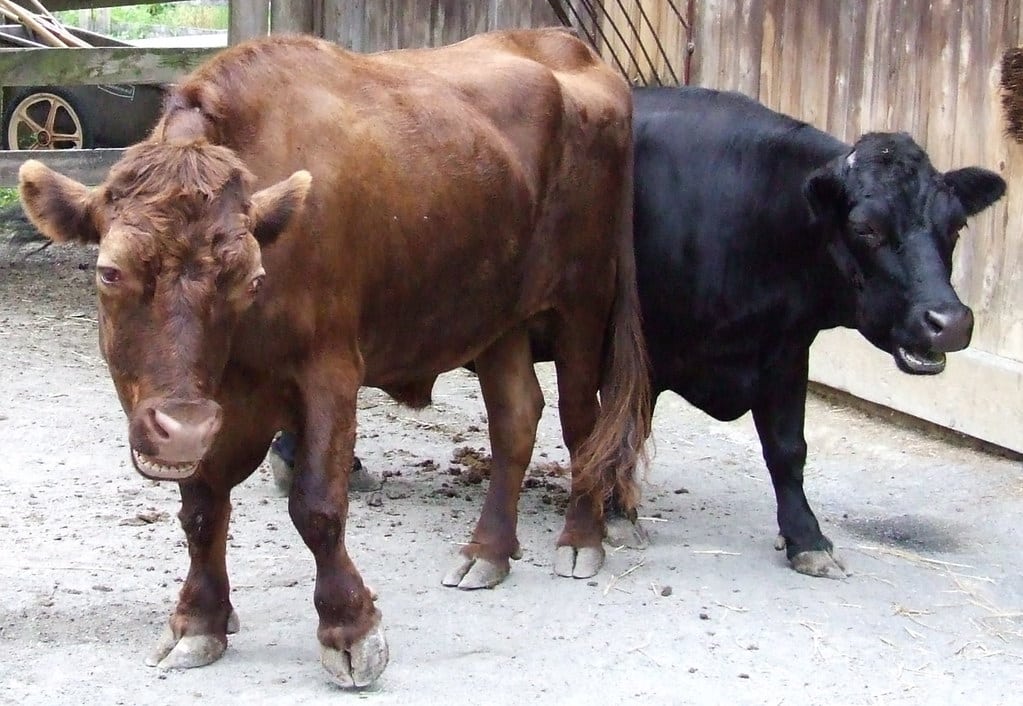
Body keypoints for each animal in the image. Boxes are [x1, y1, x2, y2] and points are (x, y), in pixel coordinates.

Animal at [17, 30, 650, 687]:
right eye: (108, 271)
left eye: (250, 279)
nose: (183, 428)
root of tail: (574, 52)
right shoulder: (212, 408)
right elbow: (201, 508)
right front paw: (199, 622)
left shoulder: (330, 372)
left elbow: (317, 505)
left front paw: (350, 629)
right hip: (498, 316)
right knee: (516, 419)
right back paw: (487, 552)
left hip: (584, 301)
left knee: (582, 422)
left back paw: (580, 539)